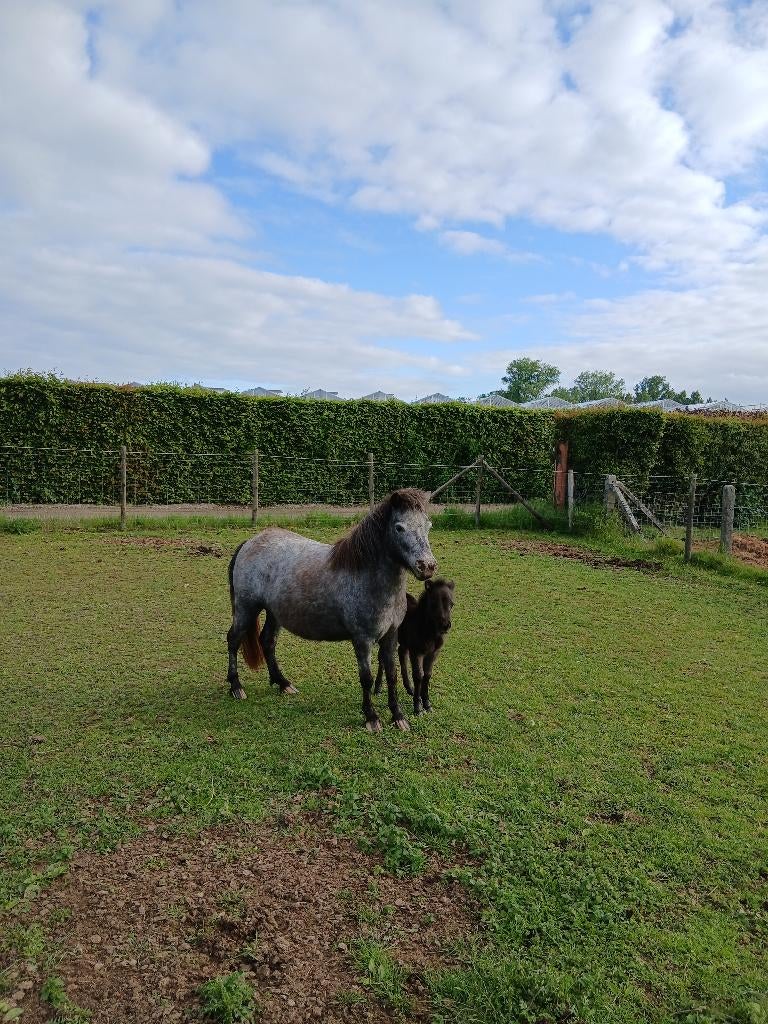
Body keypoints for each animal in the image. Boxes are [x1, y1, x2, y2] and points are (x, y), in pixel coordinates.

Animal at [226, 488, 437, 733]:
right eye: (399, 528)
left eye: (428, 525)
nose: (427, 566)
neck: (366, 576)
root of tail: (250, 542)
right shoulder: (362, 639)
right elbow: (366, 678)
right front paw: (372, 718)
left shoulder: (390, 636)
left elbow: (391, 675)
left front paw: (398, 717)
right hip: (246, 608)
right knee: (233, 640)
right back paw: (236, 687)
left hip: (274, 613)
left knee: (267, 642)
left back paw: (283, 683)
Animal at [374, 578, 455, 716]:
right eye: (434, 602)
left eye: (452, 604)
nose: (445, 625)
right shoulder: (417, 652)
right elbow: (418, 675)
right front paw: (418, 707)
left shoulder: (432, 653)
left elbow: (427, 675)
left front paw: (426, 703)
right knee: (382, 659)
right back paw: (378, 688)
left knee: (401, 654)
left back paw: (409, 688)